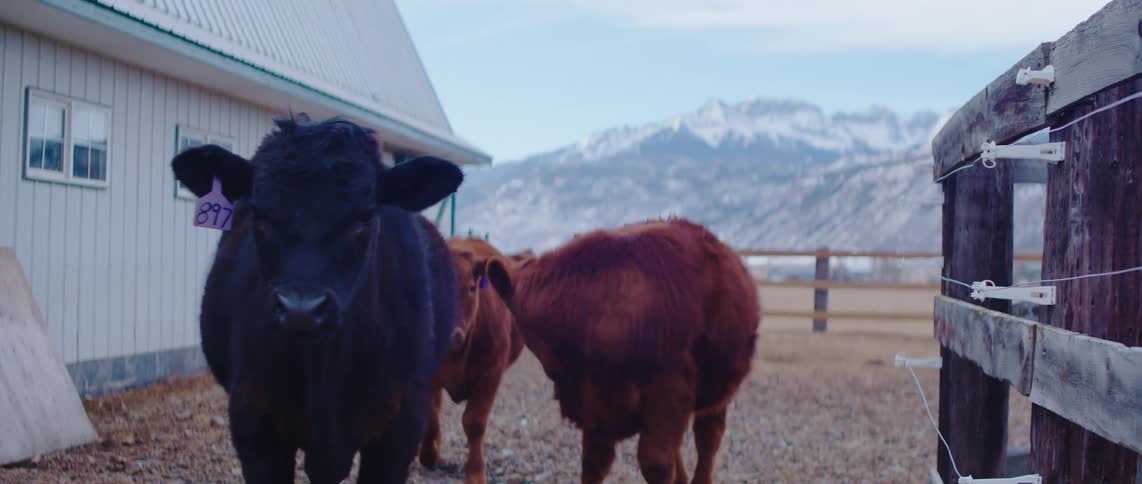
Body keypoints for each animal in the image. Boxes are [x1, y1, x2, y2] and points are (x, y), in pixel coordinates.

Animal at [418, 237, 525, 483]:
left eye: (471, 287)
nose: (450, 334)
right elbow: (431, 414)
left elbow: (474, 422)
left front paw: (475, 472)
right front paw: (428, 455)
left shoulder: (491, 373)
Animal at [478, 218, 761, 484]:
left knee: (708, 441)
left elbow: (656, 464)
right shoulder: (593, 403)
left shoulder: (668, 388)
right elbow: (594, 465)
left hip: (716, 392)